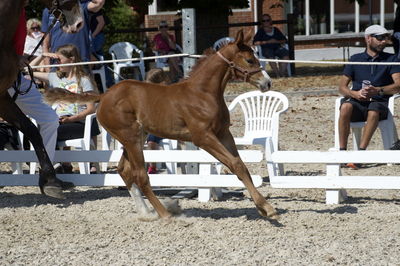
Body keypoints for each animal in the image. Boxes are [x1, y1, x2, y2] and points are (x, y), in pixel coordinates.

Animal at [45, 30, 278, 219]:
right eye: (249, 60)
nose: (267, 83)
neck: (203, 93)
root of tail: (103, 95)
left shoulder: (223, 134)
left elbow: (241, 166)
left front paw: (264, 207)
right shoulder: (203, 137)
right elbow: (235, 164)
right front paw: (267, 208)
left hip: (135, 138)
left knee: (124, 171)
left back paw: (146, 212)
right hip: (131, 138)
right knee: (140, 175)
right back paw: (164, 214)